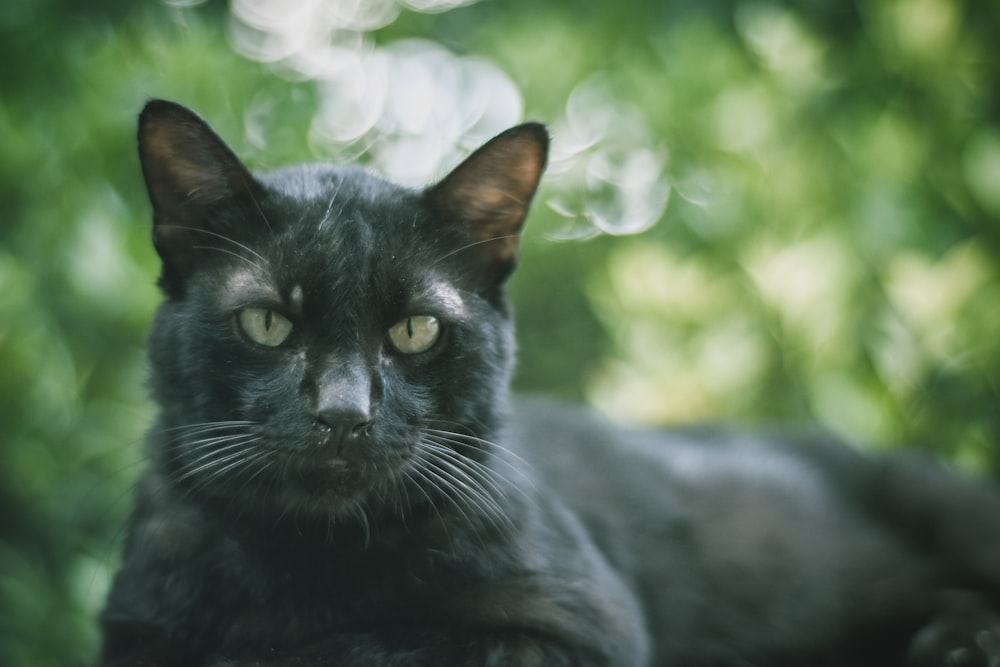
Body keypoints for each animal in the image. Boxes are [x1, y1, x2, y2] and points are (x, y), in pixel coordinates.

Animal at [99, 100, 1000, 667]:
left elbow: (371, 646)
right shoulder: (130, 629)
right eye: (267, 322)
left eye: (415, 329)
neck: (312, 561)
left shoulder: (584, 626)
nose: (344, 412)